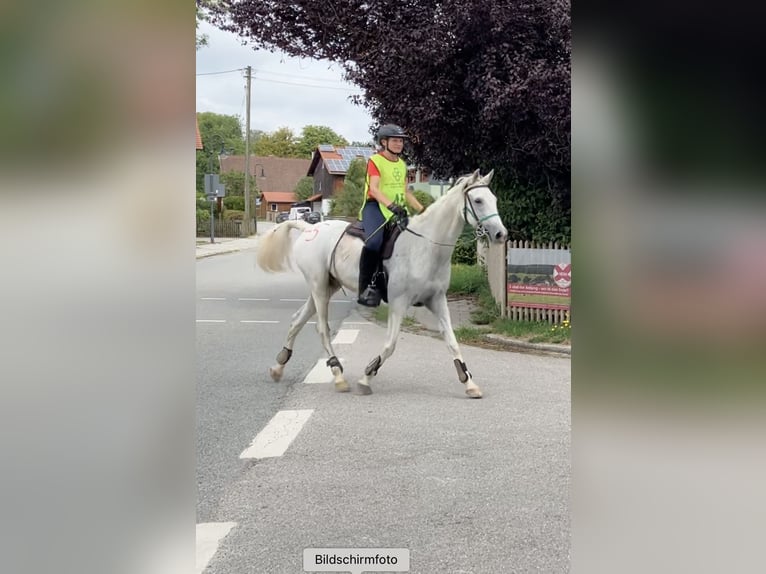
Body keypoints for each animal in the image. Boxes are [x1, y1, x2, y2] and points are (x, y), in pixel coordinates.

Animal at [255, 169, 508, 398]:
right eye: (478, 200)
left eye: (494, 199)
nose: (500, 234)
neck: (425, 246)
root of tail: (310, 228)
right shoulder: (398, 303)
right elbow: (390, 345)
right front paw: (366, 377)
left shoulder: (437, 300)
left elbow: (452, 342)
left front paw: (469, 383)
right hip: (318, 288)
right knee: (322, 329)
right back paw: (338, 375)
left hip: (326, 287)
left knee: (297, 320)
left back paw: (278, 367)